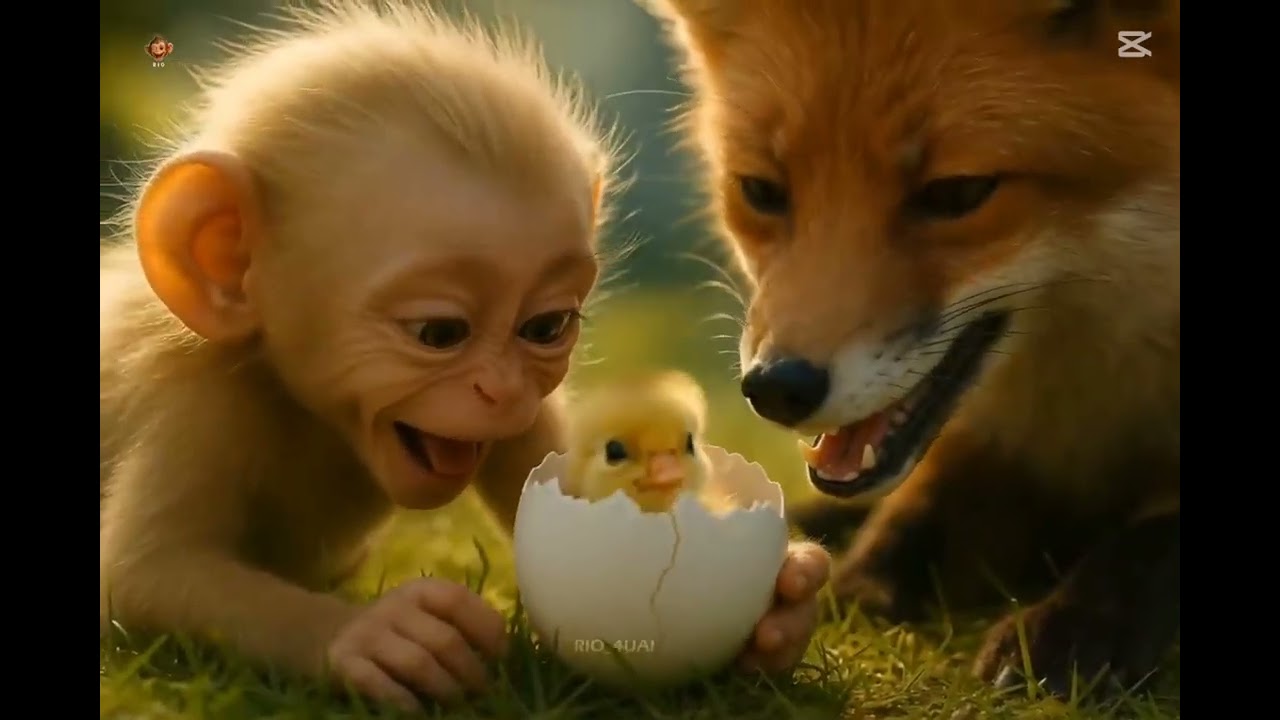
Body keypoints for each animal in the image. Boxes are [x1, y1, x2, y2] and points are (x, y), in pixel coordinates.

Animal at [100, 1, 618, 711]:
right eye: (438, 332)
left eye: (545, 326)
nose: (504, 392)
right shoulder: (197, 400)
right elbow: (144, 570)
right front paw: (372, 634)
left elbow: (545, 462)